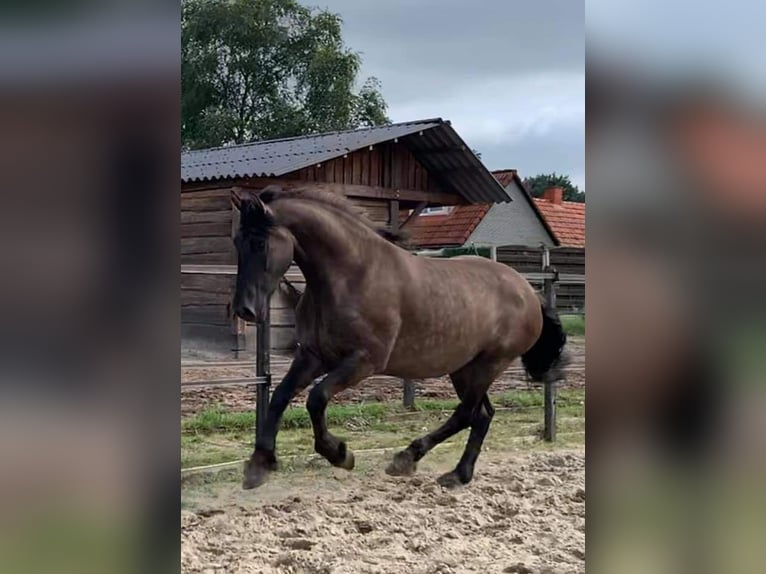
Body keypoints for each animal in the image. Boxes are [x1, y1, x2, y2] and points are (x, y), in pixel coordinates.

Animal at [231, 186, 568, 490]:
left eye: (260, 242)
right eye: (236, 241)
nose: (244, 309)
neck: (351, 274)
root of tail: (528, 291)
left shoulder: (364, 361)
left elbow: (317, 398)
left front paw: (340, 454)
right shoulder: (313, 355)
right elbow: (279, 396)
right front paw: (259, 465)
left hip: (489, 364)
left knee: (467, 414)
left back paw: (408, 459)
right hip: (464, 368)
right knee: (482, 415)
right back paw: (457, 474)